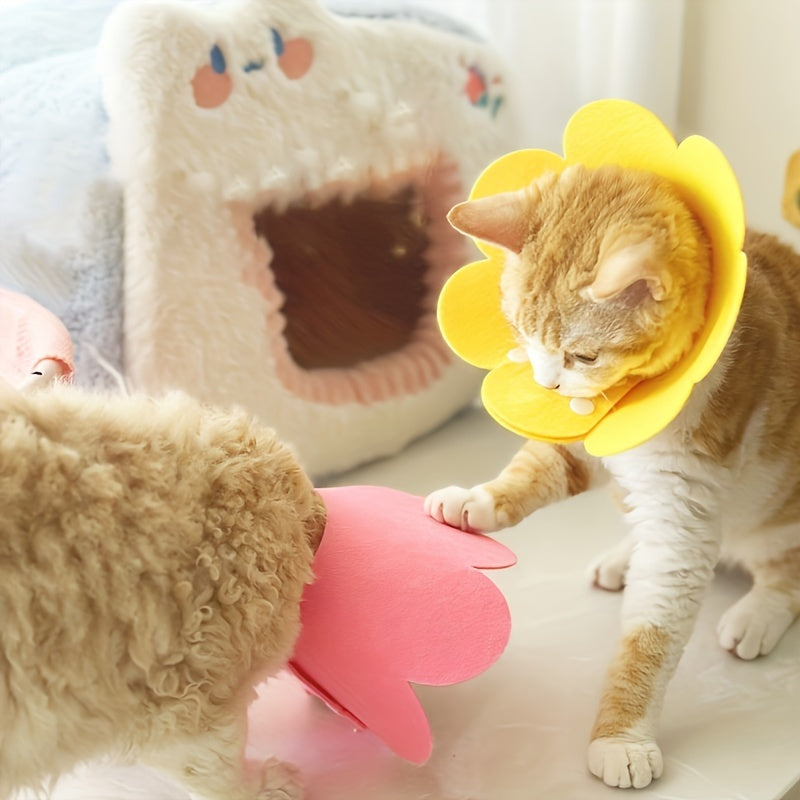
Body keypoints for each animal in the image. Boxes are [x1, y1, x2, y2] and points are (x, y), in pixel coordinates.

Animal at [425, 162, 800, 789]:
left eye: (583, 356)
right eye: (521, 333)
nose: (547, 384)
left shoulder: (681, 522)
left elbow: (649, 640)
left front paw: (621, 738)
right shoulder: (586, 448)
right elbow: (535, 470)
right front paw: (476, 502)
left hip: (778, 519)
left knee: (783, 574)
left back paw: (755, 616)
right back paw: (623, 557)